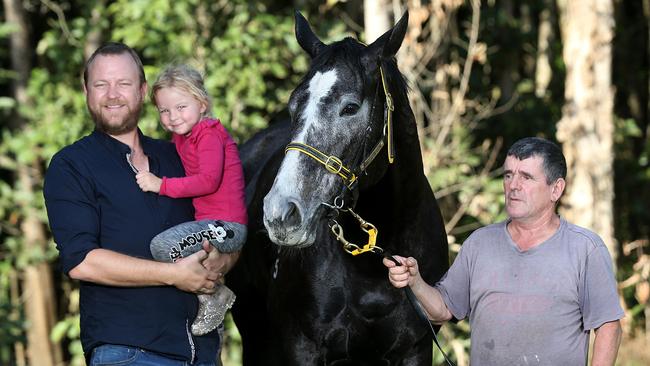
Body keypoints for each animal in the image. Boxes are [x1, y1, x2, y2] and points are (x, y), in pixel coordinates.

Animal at [229, 10, 450, 364]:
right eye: (294, 105)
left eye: (350, 107)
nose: (281, 214)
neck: (373, 268)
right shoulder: (302, 348)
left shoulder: (416, 349)